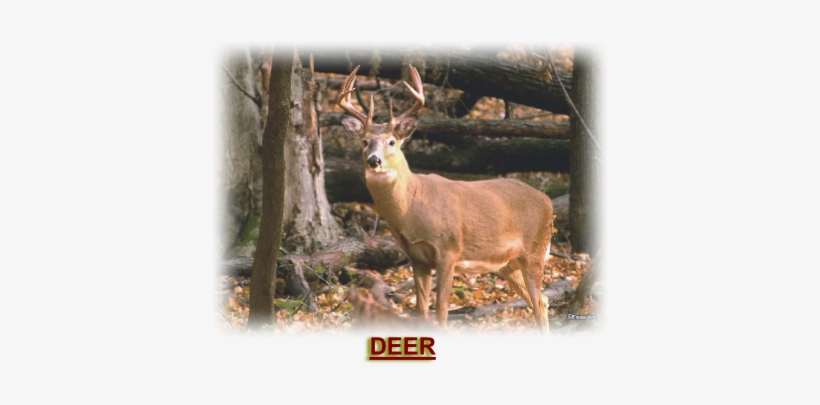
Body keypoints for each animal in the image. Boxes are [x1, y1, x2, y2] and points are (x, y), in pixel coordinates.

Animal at [337, 65, 554, 333]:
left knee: (539, 300)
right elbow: (421, 311)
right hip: (508, 263)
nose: (374, 160)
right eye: (365, 141)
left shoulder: (448, 249)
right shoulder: (416, 258)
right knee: (541, 301)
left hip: (535, 250)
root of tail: (548, 201)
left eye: (392, 141)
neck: (413, 207)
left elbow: (441, 311)